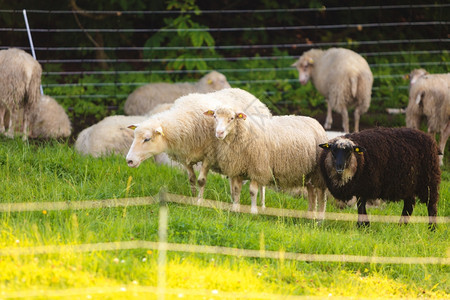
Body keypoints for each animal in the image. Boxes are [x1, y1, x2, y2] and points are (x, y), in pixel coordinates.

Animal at [127, 88, 274, 203]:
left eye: (147, 139)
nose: (129, 161)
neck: (185, 121)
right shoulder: (184, 156)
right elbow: (191, 179)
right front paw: (192, 197)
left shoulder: (209, 156)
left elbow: (201, 181)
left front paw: (199, 201)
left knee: (261, 183)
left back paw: (261, 204)